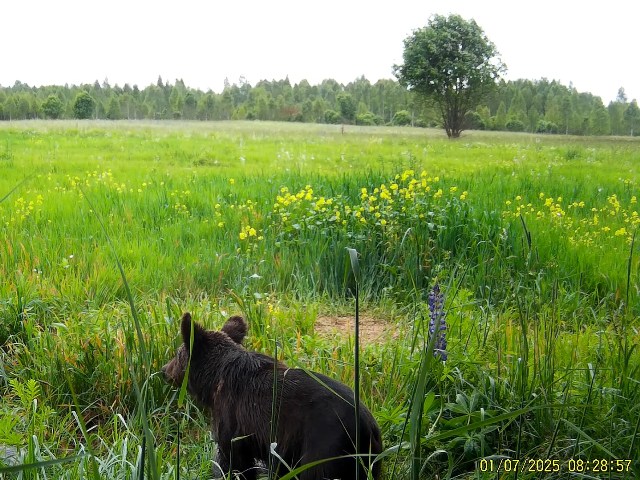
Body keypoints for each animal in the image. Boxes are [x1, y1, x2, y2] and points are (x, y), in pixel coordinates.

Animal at [162, 312, 383, 480]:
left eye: (178, 353)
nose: (164, 370)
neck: (213, 381)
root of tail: (369, 427)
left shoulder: (233, 436)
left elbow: (233, 467)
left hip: (323, 454)